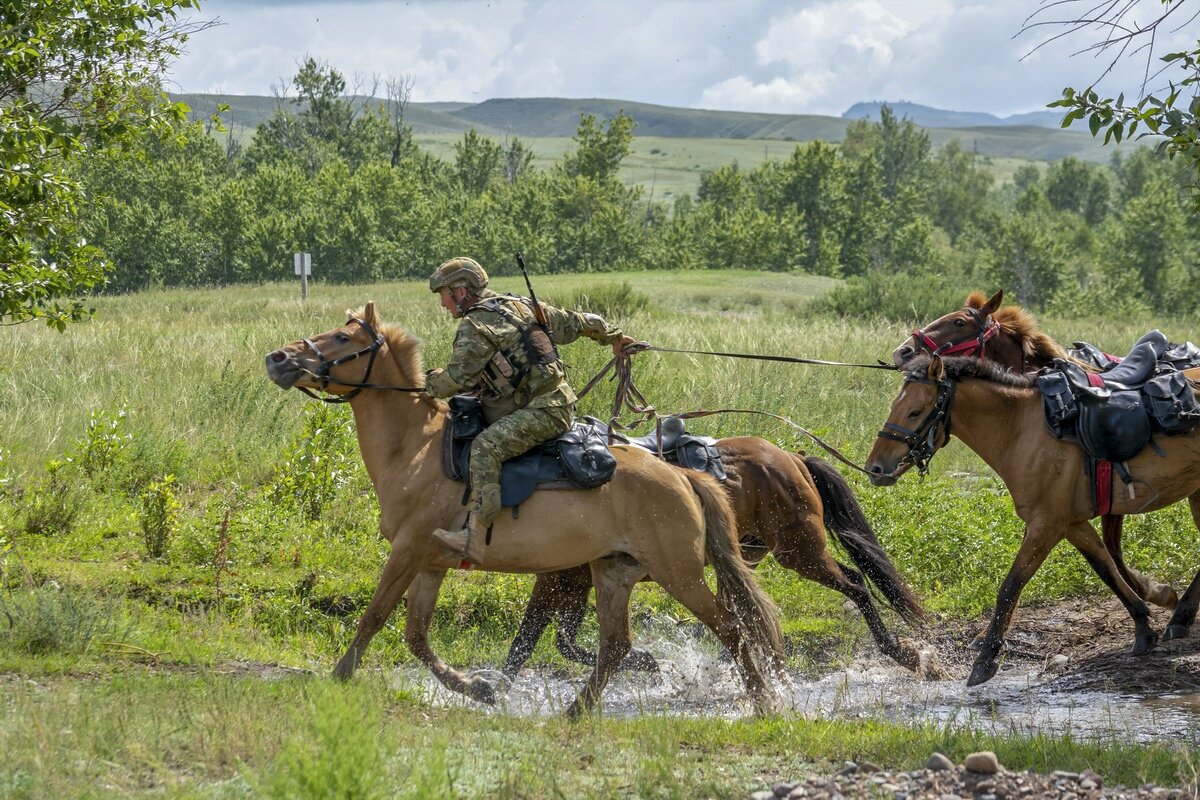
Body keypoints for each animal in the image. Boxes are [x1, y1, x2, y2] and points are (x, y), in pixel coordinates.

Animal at [264, 303, 787, 714]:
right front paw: (476, 688)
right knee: (616, 646)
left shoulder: (407, 553)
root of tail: (682, 476)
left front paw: (340, 675)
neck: (416, 447)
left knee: (732, 630)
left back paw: (762, 701)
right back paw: (576, 710)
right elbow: (417, 637)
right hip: (614, 572)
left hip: (679, 575)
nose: (278, 358)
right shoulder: (430, 563)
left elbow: (374, 616)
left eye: (342, 337)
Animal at [494, 443, 926, 681]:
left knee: (854, 583)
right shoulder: (569, 580)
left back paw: (900, 652)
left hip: (798, 552)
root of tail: (793, 457)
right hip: (750, 555)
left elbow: (543, 638)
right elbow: (542, 639)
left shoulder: (566, 579)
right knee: (745, 612)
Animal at [868, 357, 1200, 690]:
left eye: (915, 412)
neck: (1023, 430)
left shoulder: (1046, 526)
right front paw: (1144, 626)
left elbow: (1011, 585)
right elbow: (1107, 569)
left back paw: (1181, 617)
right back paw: (1179, 618)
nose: (875, 468)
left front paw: (986, 660)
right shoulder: (1072, 525)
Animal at [888, 291, 1176, 609]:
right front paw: (1154, 591)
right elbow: (1110, 550)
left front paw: (1156, 592)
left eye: (959, 322)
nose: (902, 352)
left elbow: (1112, 548)